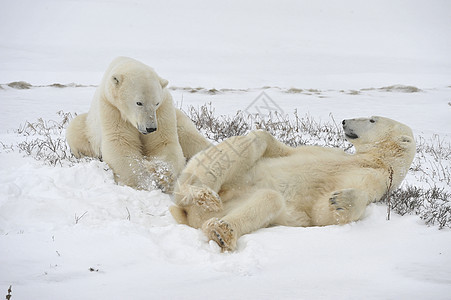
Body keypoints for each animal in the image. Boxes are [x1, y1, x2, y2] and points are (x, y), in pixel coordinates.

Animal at [66, 57, 212, 191]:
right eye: (139, 102)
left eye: (156, 103)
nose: (150, 128)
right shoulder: (112, 109)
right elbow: (120, 143)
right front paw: (145, 183)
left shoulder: (163, 109)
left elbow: (163, 142)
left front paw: (160, 174)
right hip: (87, 128)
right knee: (75, 130)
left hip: (178, 117)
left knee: (191, 136)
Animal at [170, 116, 416, 251]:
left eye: (373, 119)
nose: (345, 121)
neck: (375, 160)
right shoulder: (331, 153)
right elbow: (281, 149)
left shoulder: (376, 180)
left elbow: (322, 212)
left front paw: (340, 200)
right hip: (227, 178)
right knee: (252, 143)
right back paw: (201, 193)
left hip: (231, 202)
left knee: (269, 199)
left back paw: (221, 231)